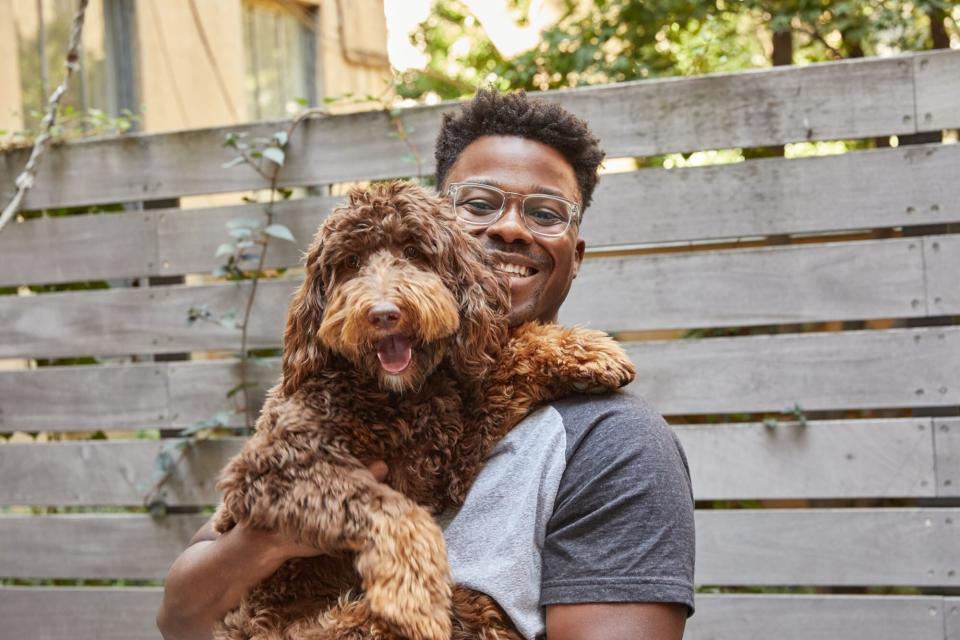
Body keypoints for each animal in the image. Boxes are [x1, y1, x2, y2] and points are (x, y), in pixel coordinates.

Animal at [215, 181, 636, 640]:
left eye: (414, 251)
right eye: (349, 263)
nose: (383, 314)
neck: (390, 397)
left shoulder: (443, 462)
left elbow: (502, 375)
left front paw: (586, 350)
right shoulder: (272, 467)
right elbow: (387, 507)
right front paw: (415, 591)